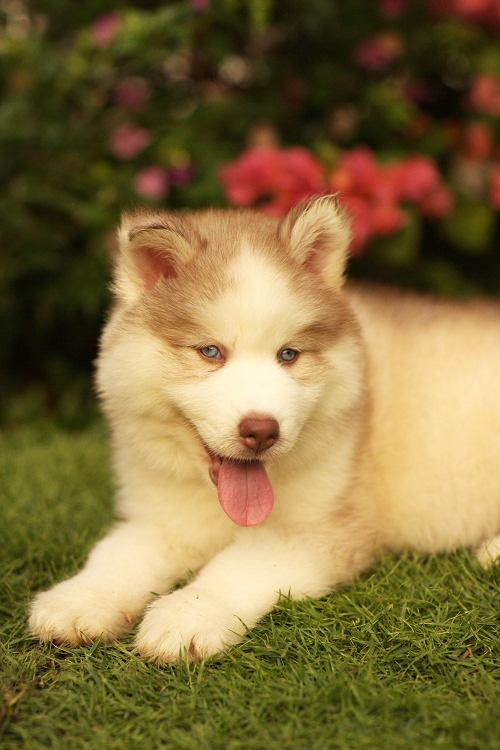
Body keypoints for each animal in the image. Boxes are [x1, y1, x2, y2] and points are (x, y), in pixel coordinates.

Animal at [29, 196, 500, 663]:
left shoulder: (323, 528)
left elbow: (236, 567)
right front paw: (79, 599)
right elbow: (117, 552)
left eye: (288, 354)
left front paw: (188, 614)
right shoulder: (162, 517)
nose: (261, 430)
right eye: (210, 352)